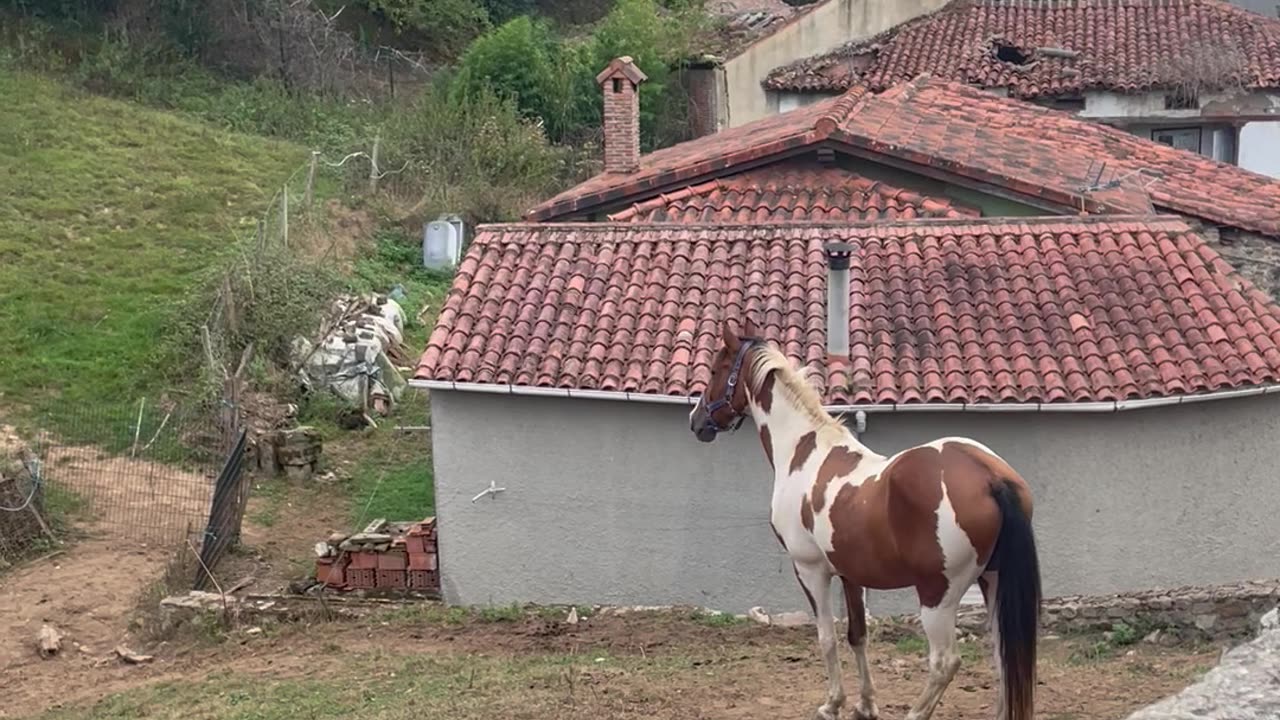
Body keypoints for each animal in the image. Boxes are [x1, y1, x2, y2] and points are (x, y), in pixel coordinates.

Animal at [688, 318, 1042, 720]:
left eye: (715, 370)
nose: (696, 421)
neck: (802, 452)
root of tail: (989, 475)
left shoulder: (810, 570)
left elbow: (826, 637)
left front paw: (833, 703)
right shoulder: (851, 574)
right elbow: (857, 635)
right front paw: (865, 705)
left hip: (938, 594)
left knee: (945, 662)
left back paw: (914, 713)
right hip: (992, 580)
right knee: (1002, 657)